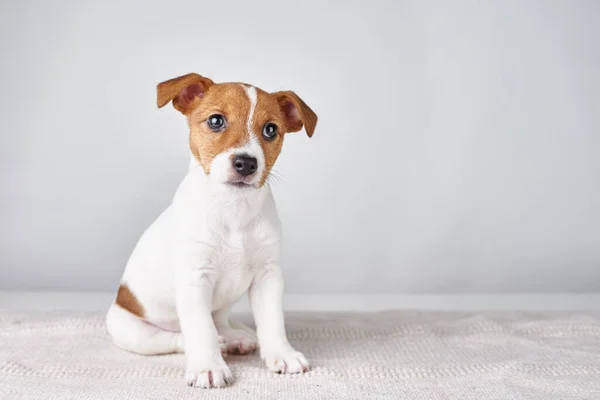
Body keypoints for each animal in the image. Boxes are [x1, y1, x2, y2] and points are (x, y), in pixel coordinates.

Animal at [105, 72, 316, 388]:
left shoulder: (268, 277)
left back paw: (237, 337)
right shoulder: (195, 279)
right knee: (178, 337)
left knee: (221, 322)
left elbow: (272, 320)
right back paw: (220, 344)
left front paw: (282, 353)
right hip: (132, 330)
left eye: (270, 130)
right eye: (216, 121)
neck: (233, 209)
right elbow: (199, 328)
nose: (246, 163)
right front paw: (208, 367)